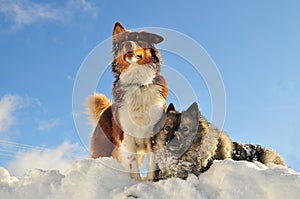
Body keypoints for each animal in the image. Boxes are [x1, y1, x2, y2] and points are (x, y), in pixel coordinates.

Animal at [88, 22, 168, 180]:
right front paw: (136, 182)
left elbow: (151, 162)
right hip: (104, 148)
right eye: (122, 42)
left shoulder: (153, 133)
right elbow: (132, 163)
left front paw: (149, 182)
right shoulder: (126, 135)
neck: (138, 84)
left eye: (139, 39)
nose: (127, 44)